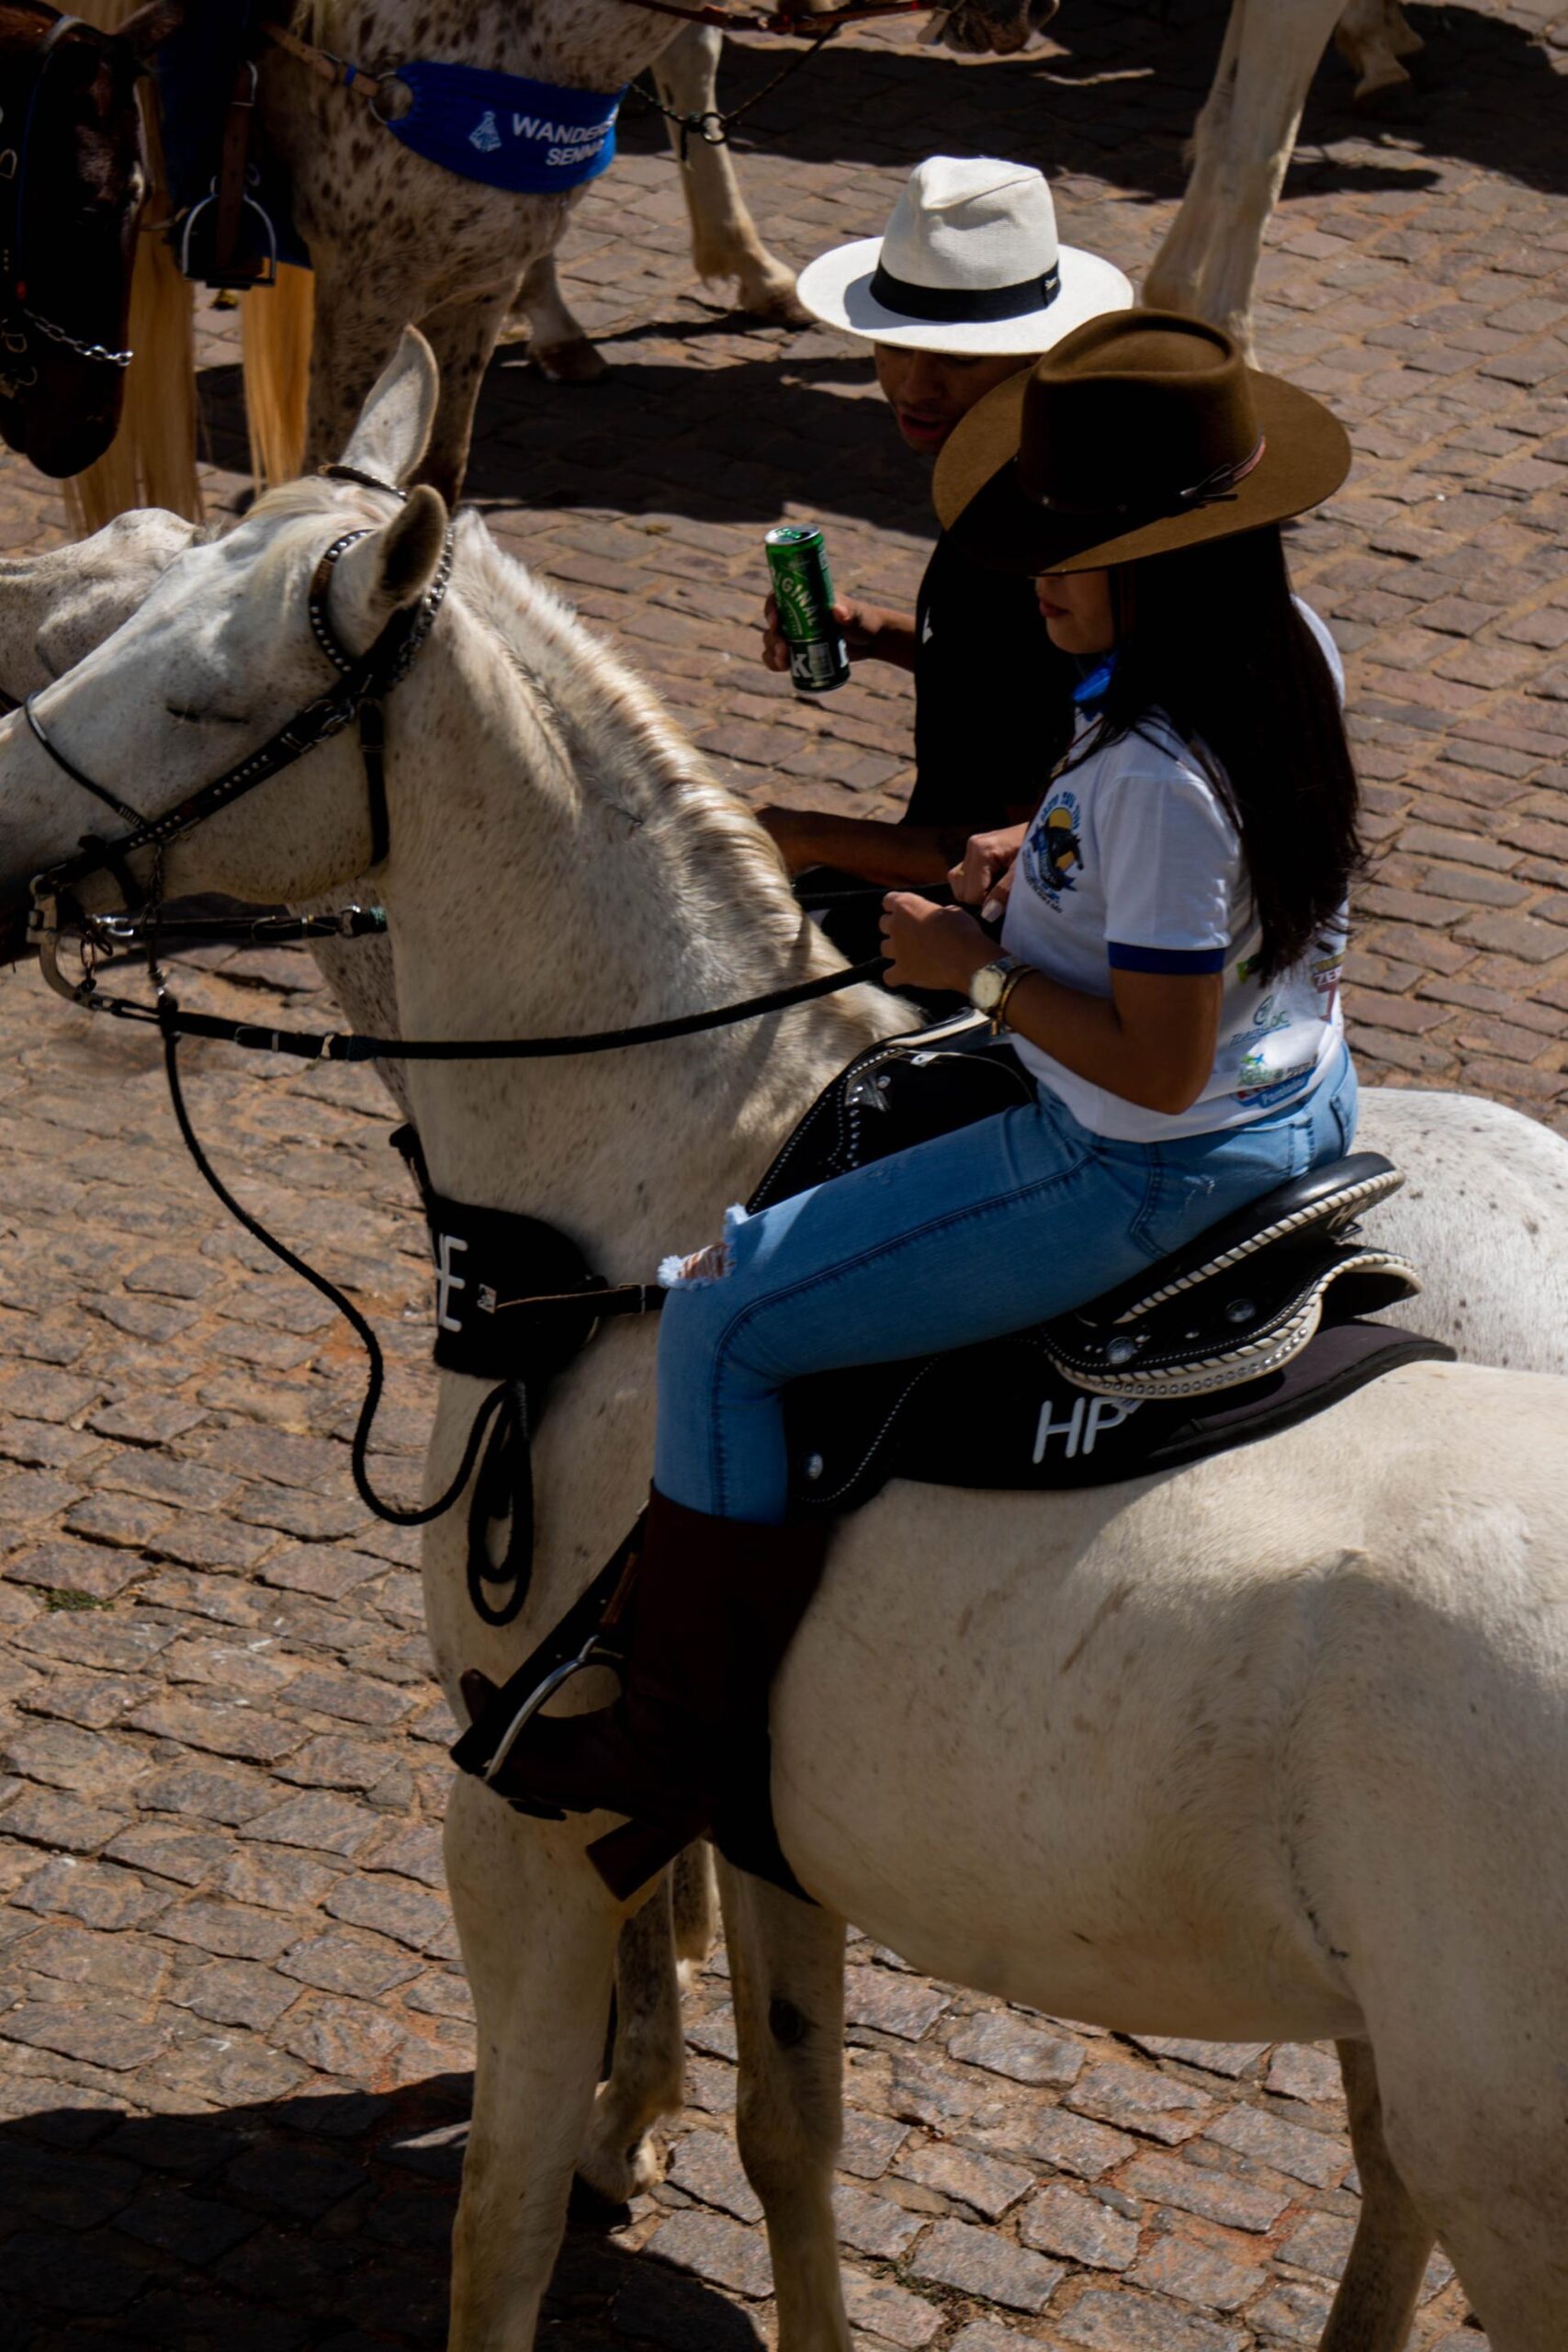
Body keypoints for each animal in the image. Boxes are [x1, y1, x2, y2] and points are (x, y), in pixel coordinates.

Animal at [3, 336, 1566, 2352]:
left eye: (200, 688)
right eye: (126, 615)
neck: (637, 1200)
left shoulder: (526, 1822)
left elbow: (503, 2215)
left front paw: (600, 2146)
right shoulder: (756, 1815)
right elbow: (793, 2127)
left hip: (1507, 2150)